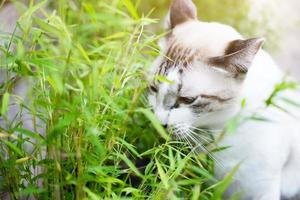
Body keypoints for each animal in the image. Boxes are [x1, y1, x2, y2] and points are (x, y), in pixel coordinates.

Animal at [148, 0, 300, 199]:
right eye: (153, 89)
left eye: (188, 100)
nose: (159, 123)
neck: (217, 130)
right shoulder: (197, 180)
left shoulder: (262, 189)